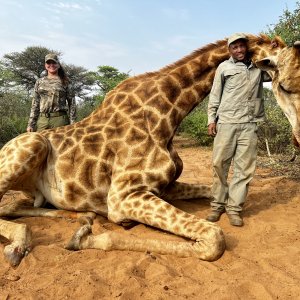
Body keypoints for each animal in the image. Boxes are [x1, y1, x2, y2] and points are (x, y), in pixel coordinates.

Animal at [0, 34, 286, 266]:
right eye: (274, 46)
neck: (166, 117)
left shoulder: (165, 186)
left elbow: (217, 194)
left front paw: (84, 230)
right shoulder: (122, 197)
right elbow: (214, 238)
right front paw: (83, 239)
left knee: (12, 206)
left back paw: (78, 217)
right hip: (31, 146)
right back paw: (20, 244)